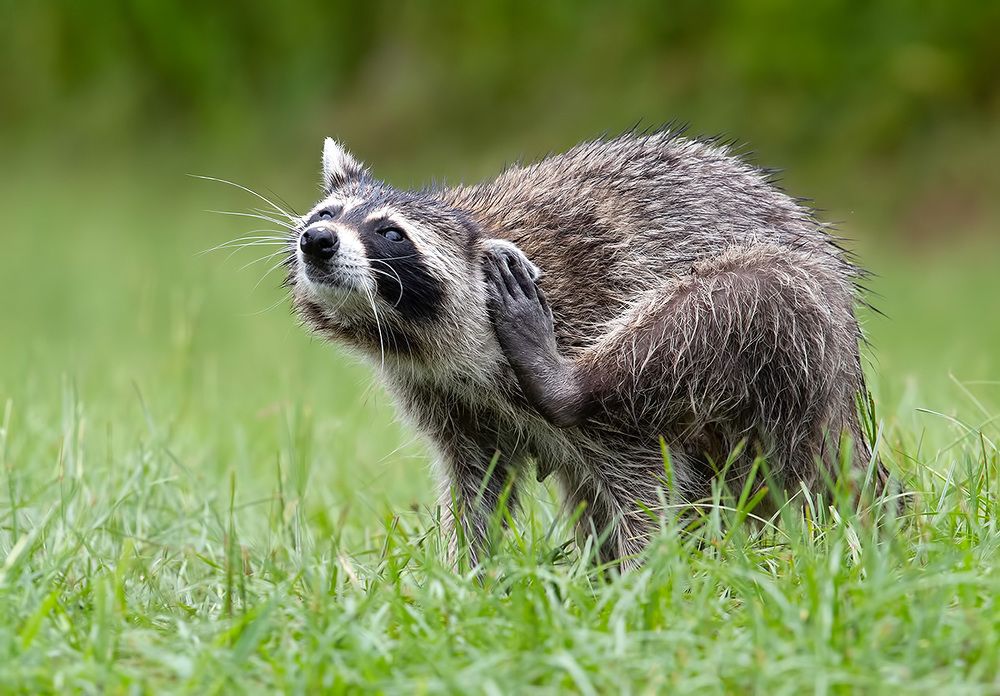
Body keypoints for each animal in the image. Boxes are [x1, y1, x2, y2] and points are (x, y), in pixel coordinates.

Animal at [286, 131, 879, 566]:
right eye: (326, 214)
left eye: (390, 233)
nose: (316, 241)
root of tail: (845, 405)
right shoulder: (445, 398)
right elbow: (477, 486)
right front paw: (464, 578)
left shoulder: (582, 309)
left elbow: (648, 485)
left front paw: (649, 579)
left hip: (790, 342)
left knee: (731, 297)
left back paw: (567, 382)